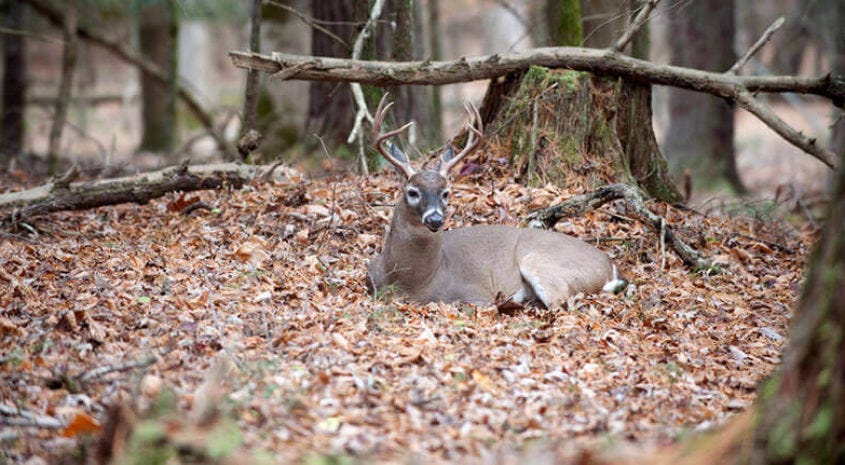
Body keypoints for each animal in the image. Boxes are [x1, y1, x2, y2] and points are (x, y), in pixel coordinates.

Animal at [366, 93, 616, 308]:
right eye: (412, 191)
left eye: (446, 192)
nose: (435, 219)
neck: (414, 281)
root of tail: (610, 265)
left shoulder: (475, 293)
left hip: (543, 263)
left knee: (560, 303)